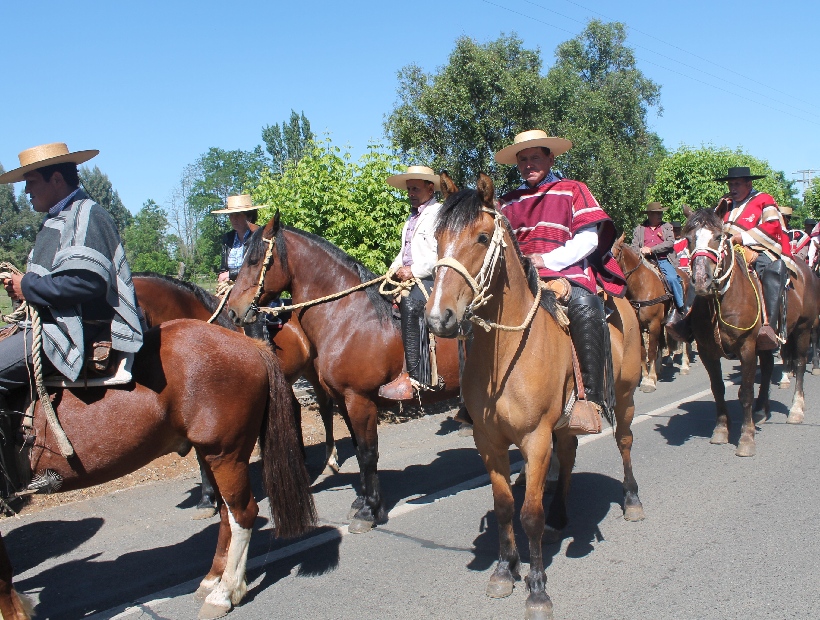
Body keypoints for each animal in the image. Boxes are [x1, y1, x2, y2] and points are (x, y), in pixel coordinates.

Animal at [0, 320, 316, 620]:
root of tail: (250, 345)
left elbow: (4, 575)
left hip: (226, 454)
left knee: (243, 513)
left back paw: (225, 593)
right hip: (213, 455)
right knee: (228, 513)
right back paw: (212, 580)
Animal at [224, 213, 464, 532]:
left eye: (254, 260)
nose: (233, 311)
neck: (349, 317)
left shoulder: (359, 399)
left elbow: (368, 452)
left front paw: (370, 511)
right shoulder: (342, 399)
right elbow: (358, 450)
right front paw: (362, 502)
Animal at [426, 174, 644, 620]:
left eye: (481, 237)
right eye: (437, 239)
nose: (439, 318)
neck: (506, 354)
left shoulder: (535, 439)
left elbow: (529, 513)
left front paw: (538, 588)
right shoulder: (489, 441)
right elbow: (504, 505)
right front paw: (503, 570)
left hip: (625, 396)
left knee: (625, 441)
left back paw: (631, 500)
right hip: (566, 422)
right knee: (571, 455)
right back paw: (561, 515)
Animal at [612, 236, 688, 388]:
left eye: (614, 254)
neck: (641, 286)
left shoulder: (653, 323)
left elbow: (651, 350)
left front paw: (651, 380)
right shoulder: (640, 326)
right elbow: (643, 351)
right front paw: (645, 377)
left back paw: (684, 366)